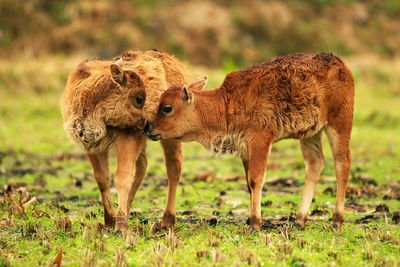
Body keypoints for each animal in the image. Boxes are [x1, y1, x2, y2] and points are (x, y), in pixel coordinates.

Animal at [61, 49, 189, 232]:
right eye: (139, 98)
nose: (147, 124)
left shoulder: (127, 139)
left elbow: (122, 177)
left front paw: (120, 226)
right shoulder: (92, 146)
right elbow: (102, 179)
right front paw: (110, 221)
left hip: (169, 138)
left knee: (173, 169)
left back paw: (167, 221)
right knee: (142, 166)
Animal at [145, 52, 354, 230]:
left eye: (167, 108)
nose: (148, 128)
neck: (226, 103)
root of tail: (341, 64)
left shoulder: (260, 141)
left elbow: (256, 180)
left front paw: (255, 224)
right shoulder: (245, 148)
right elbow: (248, 182)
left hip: (338, 123)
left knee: (342, 164)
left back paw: (336, 221)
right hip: (310, 134)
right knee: (314, 164)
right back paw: (299, 221)